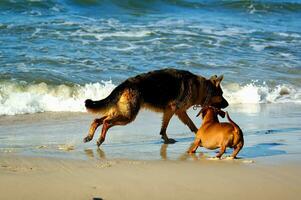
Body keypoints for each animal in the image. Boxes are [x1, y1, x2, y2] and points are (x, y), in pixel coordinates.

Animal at [82, 68, 227, 146]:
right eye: (221, 95)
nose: (227, 104)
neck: (202, 88)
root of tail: (126, 83)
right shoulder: (174, 111)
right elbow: (181, 125)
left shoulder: (175, 112)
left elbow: (179, 126)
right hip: (128, 116)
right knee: (106, 122)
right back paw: (100, 139)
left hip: (122, 113)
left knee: (97, 120)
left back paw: (89, 136)